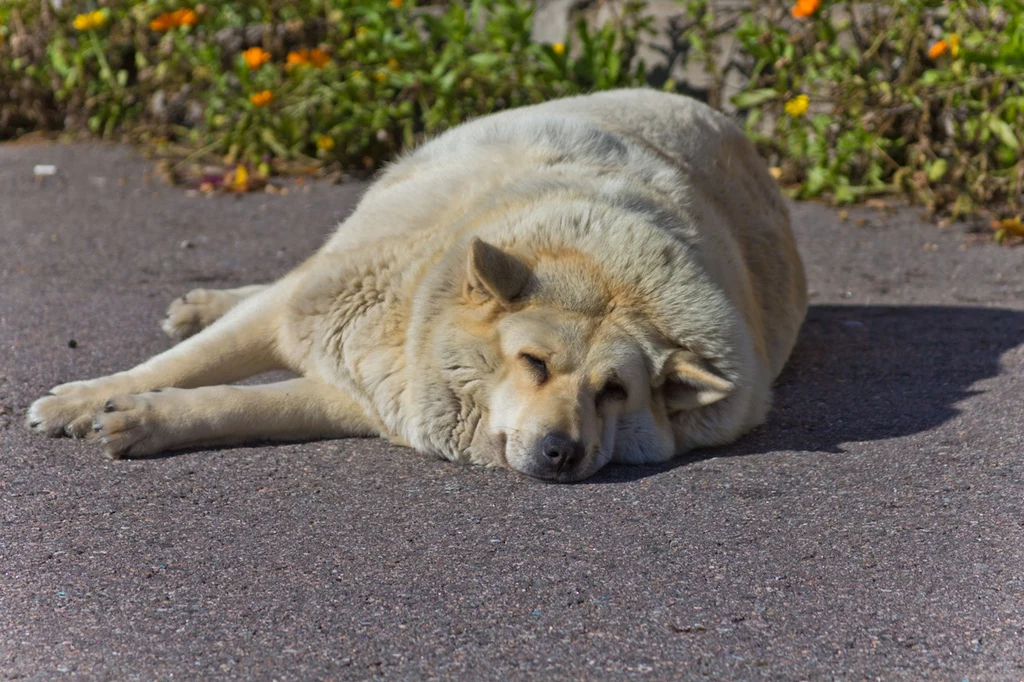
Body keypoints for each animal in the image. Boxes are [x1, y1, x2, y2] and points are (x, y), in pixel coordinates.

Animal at [25, 90, 806, 481]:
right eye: (534, 364)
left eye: (615, 392)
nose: (563, 455)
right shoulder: (320, 306)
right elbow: (183, 363)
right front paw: (83, 400)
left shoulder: (374, 394)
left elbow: (236, 404)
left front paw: (146, 419)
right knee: (280, 278)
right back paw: (202, 303)